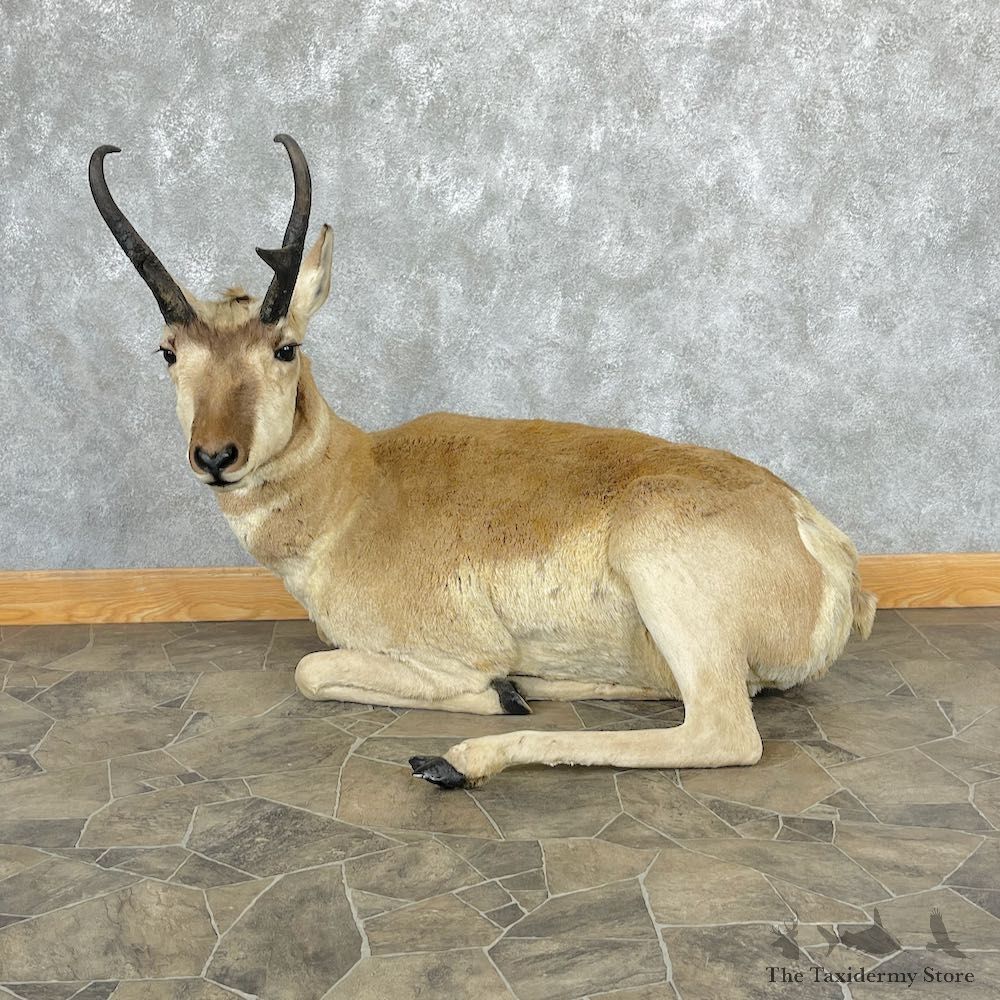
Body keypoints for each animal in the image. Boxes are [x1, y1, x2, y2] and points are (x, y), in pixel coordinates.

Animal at [89, 135, 876, 789]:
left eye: (285, 348)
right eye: (168, 352)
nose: (216, 455)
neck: (358, 486)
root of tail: (821, 540)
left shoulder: (441, 653)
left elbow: (314, 670)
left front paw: (497, 695)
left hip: (666, 581)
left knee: (719, 729)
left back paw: (460, 757)